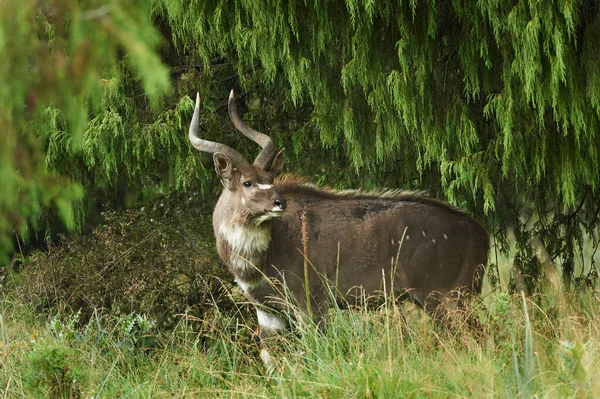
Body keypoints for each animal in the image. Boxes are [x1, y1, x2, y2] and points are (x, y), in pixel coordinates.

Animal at [188, 90, 488, 366]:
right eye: (248, 182)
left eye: (270, 179)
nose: (279, 202)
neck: (259, 257)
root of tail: (480, 233)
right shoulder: (268, 311)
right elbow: (271, 359)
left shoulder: (311, 303)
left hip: (445, 298)